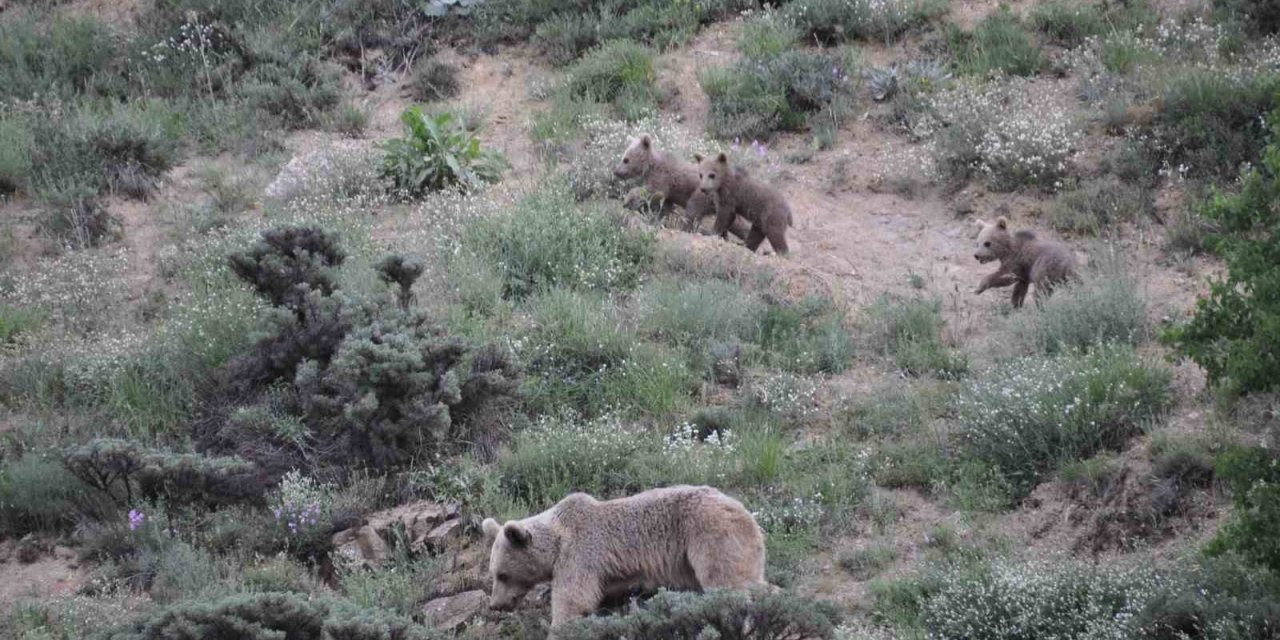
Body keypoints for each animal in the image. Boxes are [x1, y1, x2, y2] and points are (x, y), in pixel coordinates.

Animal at [478, 483, 757, 624]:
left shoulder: (580, 554)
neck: (557, 541)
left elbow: (573, 599)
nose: (496, 605)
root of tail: (741, 508)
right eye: (494, 573)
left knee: (726, 578)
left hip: (710, 534)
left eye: (502, 575)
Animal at [614, 133, 752, 240]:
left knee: (693, 210)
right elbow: (665, 206)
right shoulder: (669, 192)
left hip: (703, 194)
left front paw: (628, 200)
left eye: (626, 159)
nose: (616, 171)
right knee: (734, 219)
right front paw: (658, 218)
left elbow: (653, 191)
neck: (650, 167)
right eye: (623, 157)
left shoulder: (663, 177)